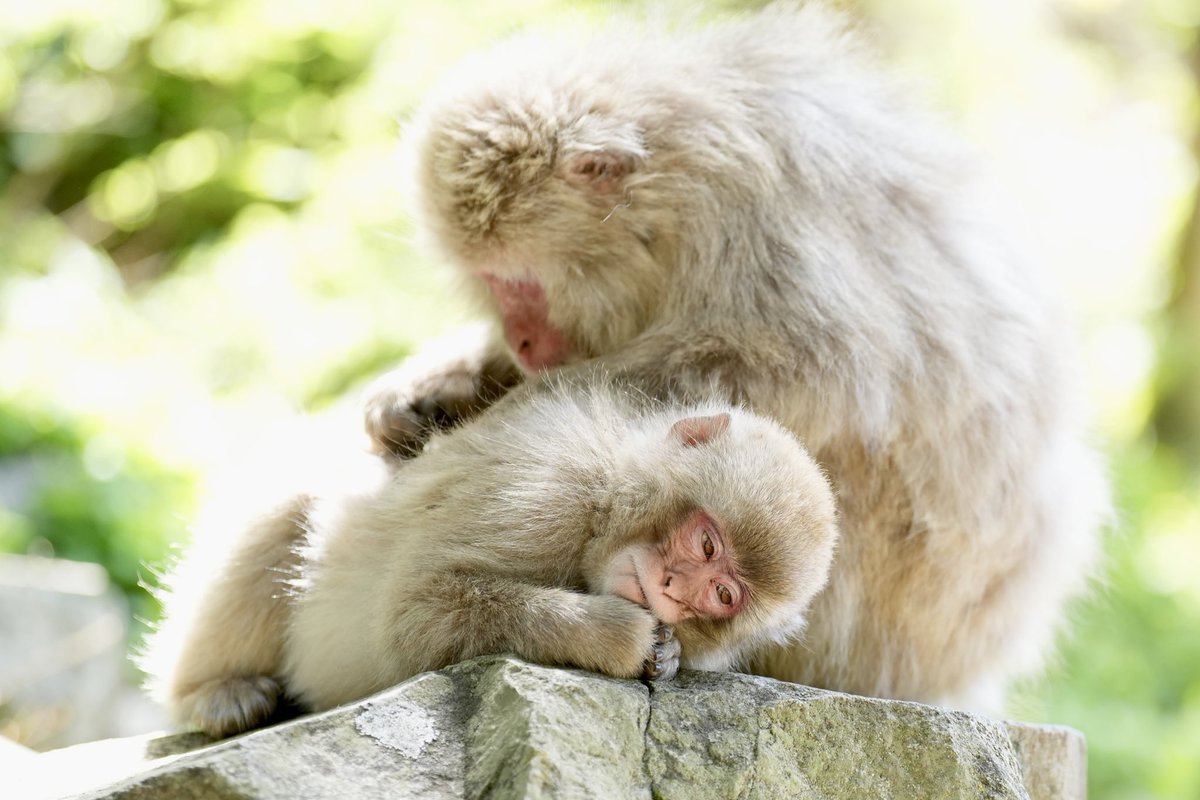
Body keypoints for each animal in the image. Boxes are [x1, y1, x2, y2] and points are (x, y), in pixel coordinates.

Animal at [142, 377, 839, 736]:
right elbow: (413, 612)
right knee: (288, 514)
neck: (603, 511)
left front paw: (666, 655)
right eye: (706, 543)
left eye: (722, 595)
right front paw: (619, 636)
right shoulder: (547, 491)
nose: (671, 587)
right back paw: (213, 693)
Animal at [363, 4, 1108, 713]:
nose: (519, 341)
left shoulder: (766, 222)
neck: (676, 196)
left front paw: (498, 414)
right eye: (488, 284)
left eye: (515, 282)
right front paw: (426, 395)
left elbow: (804, 371)